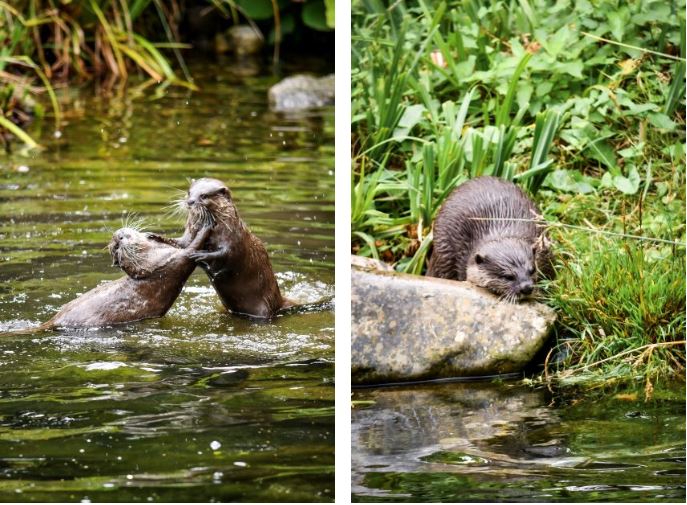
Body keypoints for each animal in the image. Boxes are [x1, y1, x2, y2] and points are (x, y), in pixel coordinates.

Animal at [14, 225, 210, 330]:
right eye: (116, 248)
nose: (118, 238)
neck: (150, 267)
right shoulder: (174, 262)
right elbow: (192, 248)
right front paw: (206, 225)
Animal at [149, 178, 292, 318]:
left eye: (204, 195)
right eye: (189, 192)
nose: (190, 201)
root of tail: (279, 302)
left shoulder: (234, 240)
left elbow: (226, 253)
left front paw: (201, 255)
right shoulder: (189, 236)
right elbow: (181, 243)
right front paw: (156, 236)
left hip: (264, 307)